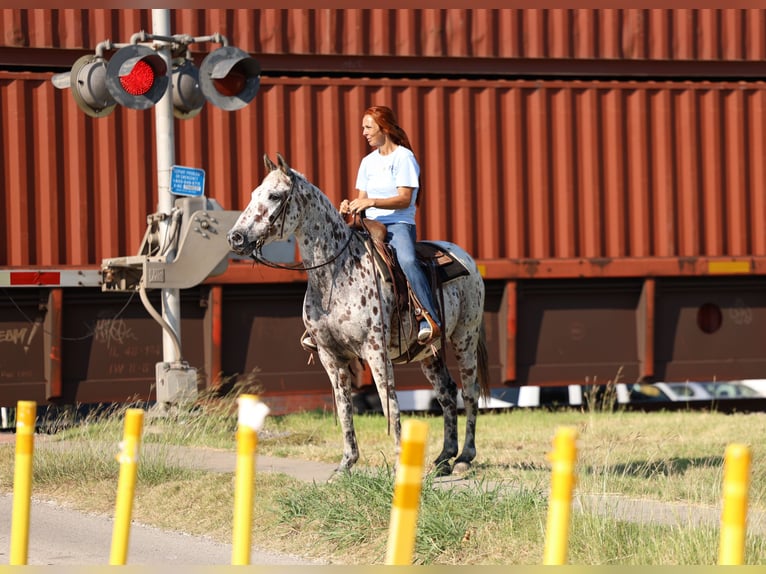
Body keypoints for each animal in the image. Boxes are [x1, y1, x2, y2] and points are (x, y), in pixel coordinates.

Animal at [227, 153, 490, 476]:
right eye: (254, 194)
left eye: (274, 195)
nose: (236, 238)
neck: (337, 273)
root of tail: (465, 258)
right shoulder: (329, 356)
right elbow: (344, 408)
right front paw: (346, 464)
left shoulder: (375, 351)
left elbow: (389, 404)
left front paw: (399, 463)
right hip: (429, 352)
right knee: (446, 393)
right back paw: (443, 458)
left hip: (465, 339)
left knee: (470, 392)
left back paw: (464, 457)